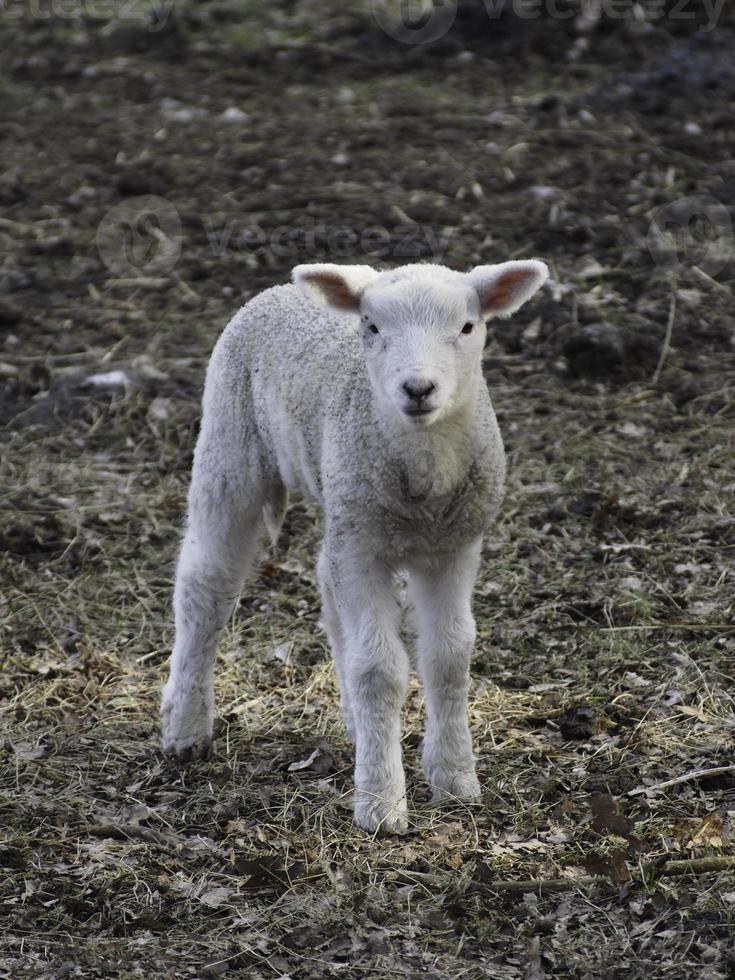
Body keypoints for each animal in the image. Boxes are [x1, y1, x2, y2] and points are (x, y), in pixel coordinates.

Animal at [162, 256, 552, 832]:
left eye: (467, 327)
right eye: (371, 327)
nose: (418, 388)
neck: (422, 483)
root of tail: (279, 291)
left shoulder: (454, 546)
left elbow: (449, 655)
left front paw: (456, 780)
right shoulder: (365, 548)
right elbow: (380, 670)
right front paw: (382, 803)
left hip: (342, 505)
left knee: (327, 587)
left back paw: (354, 722)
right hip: (231, 446)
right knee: (204, 586)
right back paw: (185, 728)